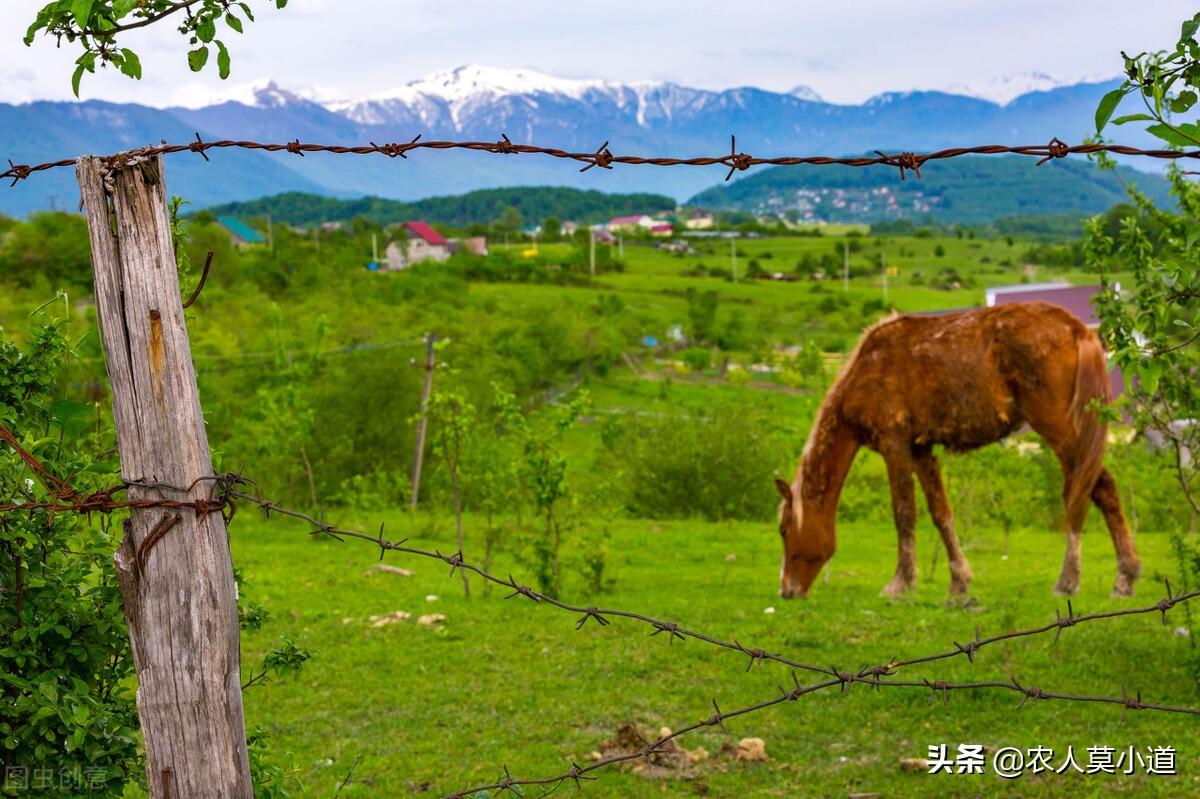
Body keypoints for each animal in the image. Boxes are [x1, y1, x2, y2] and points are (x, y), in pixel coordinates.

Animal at [777, 299, 1142, 597]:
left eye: (783, 530)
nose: (787, 590)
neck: (866, 370)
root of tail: (1079, 329)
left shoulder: (894, 446)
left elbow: (904, 512)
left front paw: (900, 584)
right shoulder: (921, 450)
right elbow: (941, 513)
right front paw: (959, 582)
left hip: (1063, 431)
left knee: (1092, 490)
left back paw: (1076, 580)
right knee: (1098, 490)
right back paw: (1123, 577)